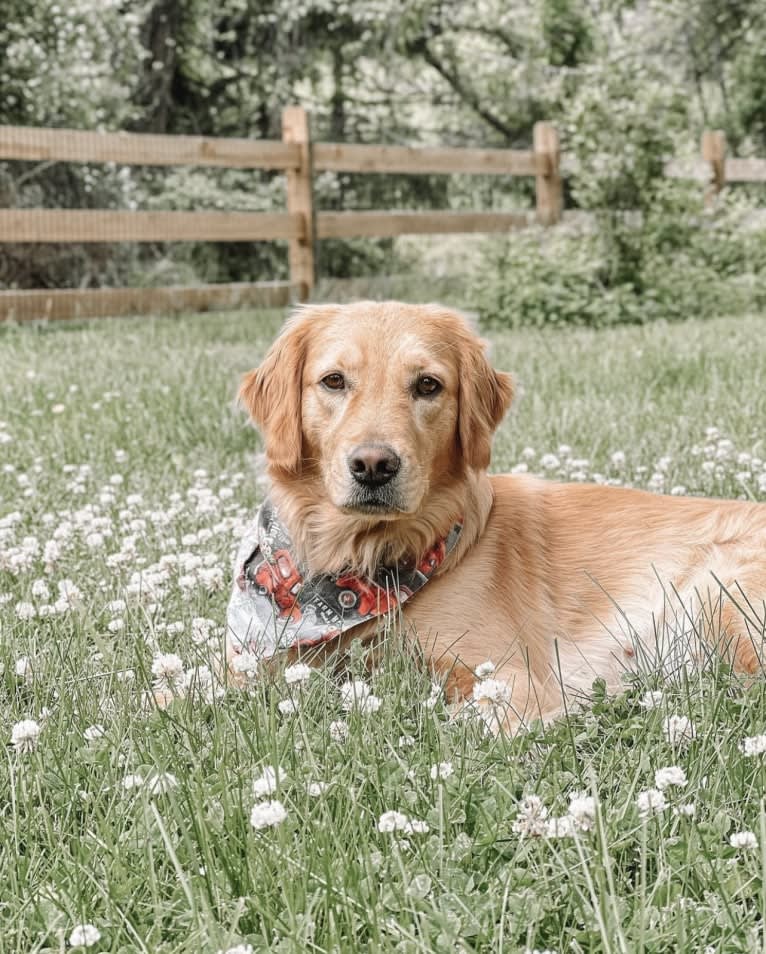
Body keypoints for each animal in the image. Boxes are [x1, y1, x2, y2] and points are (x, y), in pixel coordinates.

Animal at [231, 302, 766, 724]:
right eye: (334, 381)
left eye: (428, 385)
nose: (374, 466)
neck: (363, 558)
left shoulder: (511, 677)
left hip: (722, 595)